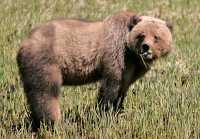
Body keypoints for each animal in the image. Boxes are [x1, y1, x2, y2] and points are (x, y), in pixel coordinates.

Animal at [16, 11, 172, 130]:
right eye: (141, 35)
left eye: (156, 37)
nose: (146, 48)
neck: (131, 54)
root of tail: (23, 44)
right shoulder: (115, 56)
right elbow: (110, 88)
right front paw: (104, 114)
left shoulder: (129, 69)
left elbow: (122, 91)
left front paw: (119, 113)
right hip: (46, 62)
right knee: (46, 94)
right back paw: (55, 123)